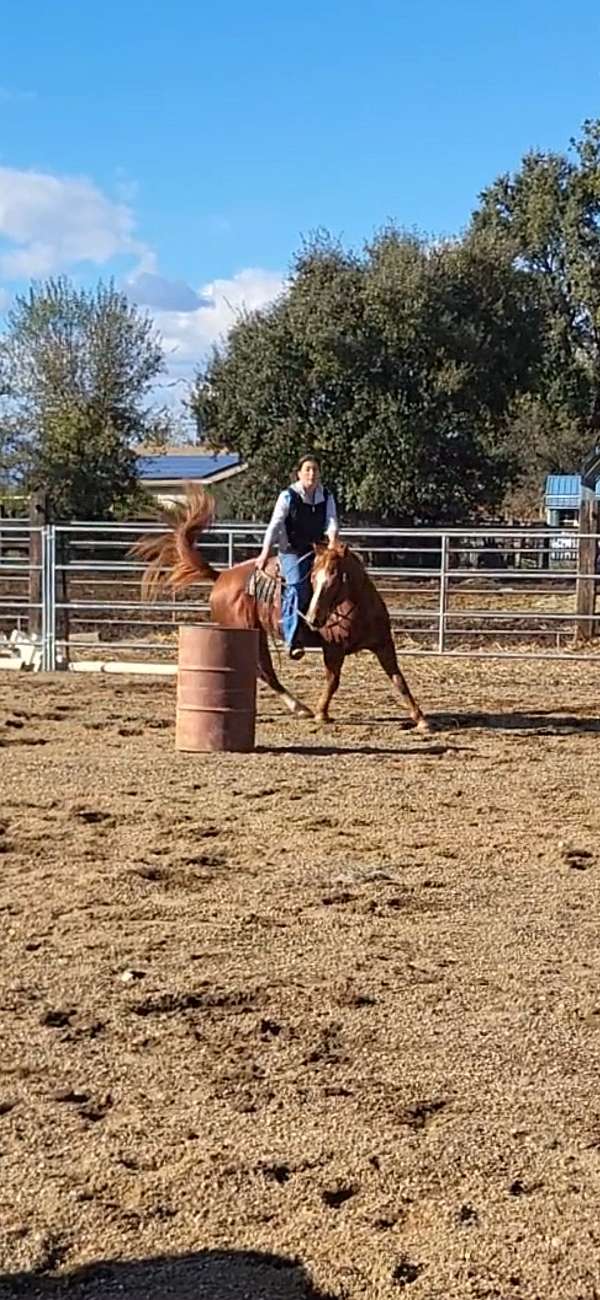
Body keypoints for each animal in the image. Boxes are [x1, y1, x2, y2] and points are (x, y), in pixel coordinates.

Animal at [133, 488, 428, 733]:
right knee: (265, 671)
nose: (314, 619)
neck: (355, 609)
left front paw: (420, 718)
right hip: (248, 632)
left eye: (335, 578)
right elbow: (333, 680)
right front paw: (321, 713)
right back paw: (301, 708)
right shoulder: (333, 650)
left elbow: (399, 680)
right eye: (313, 578)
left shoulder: (384, 646)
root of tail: (221, 577)